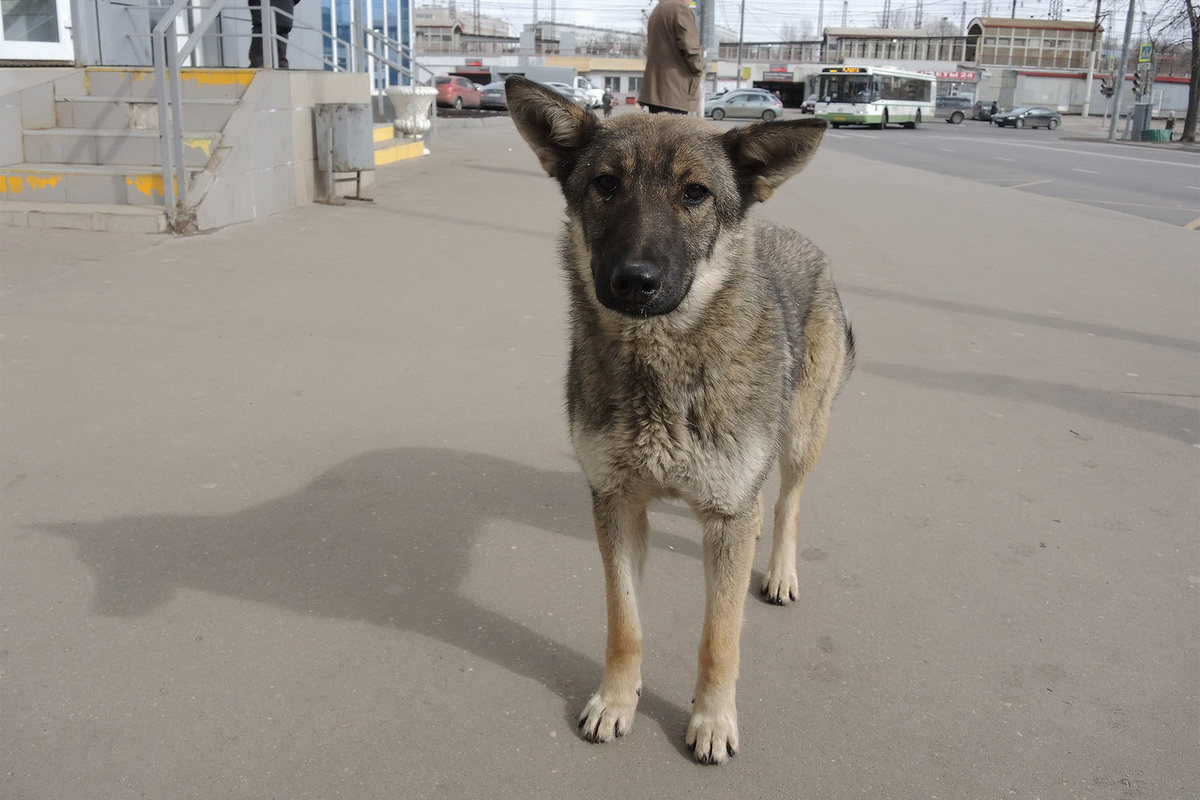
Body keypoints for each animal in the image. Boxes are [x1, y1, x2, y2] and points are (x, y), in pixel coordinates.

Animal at [506, 77, 854, 767]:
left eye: (694, 193)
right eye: (605, 184)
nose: (635, 281)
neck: (660, 370)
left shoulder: (725, 518)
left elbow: (719, 639)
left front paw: (713, 721)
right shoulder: (615, 505)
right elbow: (624, 625)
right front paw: (616, 701)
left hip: (802, 439)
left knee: (787, 504)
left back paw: (780, 571)